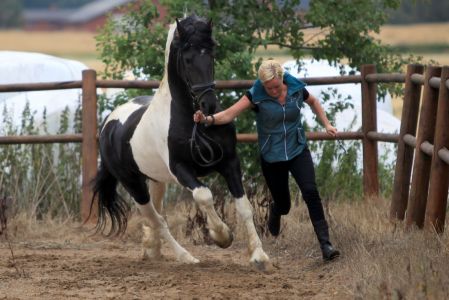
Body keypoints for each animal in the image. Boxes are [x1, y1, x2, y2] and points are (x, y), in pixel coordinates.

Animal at [89, 14, 268, 268]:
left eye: (211, 54)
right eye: (187, 58)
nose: (208, 105)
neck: (192, 121)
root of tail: (108, 124)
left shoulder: (230, 162)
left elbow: (244, 207)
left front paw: (259, 255)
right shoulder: (180, 169)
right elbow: (204, 195)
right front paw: (222, 236)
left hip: (156, 181)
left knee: (156, 217)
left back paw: (152, 250)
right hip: (133, 185)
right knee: (157, 220)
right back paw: (186, 257)